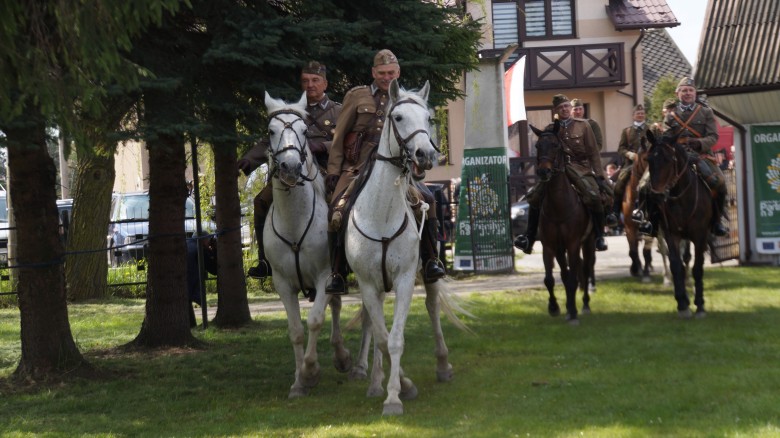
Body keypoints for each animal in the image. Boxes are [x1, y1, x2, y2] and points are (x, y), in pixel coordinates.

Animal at [264, 91, 352, 396]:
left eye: (304, 131)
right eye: (271, 131)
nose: (290, 167)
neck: (295, 222)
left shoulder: (326, 274)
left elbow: (315, 321)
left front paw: (311, 371)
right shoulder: (282, 283)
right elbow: (296, 331)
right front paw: (298, 382)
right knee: (336, 304)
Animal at [344, 79, 448, 418]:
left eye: (429, 118)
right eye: (398, 117)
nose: (425, 154)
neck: (382, 214)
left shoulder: (404, 280)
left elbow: (396, 340)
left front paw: (395, 396)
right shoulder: (366, 284)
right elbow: (381, 337)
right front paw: (396, 386)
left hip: (429, 272)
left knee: (433, 307)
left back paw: (443, 365)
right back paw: (376, 381)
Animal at [532, 123, 596, 326]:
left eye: (555, 145)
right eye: (537, 146)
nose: (543, 172)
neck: (559, 207)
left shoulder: (573, 244)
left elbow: (574, 279)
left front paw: (573, 312)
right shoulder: (549, 246)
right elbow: (550, 279)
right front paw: (554, 307)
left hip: (588, 242)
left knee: (586, 269)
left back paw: (585, 305)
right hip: (560, 250)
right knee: (566, 273)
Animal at [644, 131, 712, 318]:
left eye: (668, 159)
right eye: (649, 159)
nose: (656, 195)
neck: (681, 198)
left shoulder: (700, 236)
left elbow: (697, 268)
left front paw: (700, 304)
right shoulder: (670, 233)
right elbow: (675, 265)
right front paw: (682, 303)